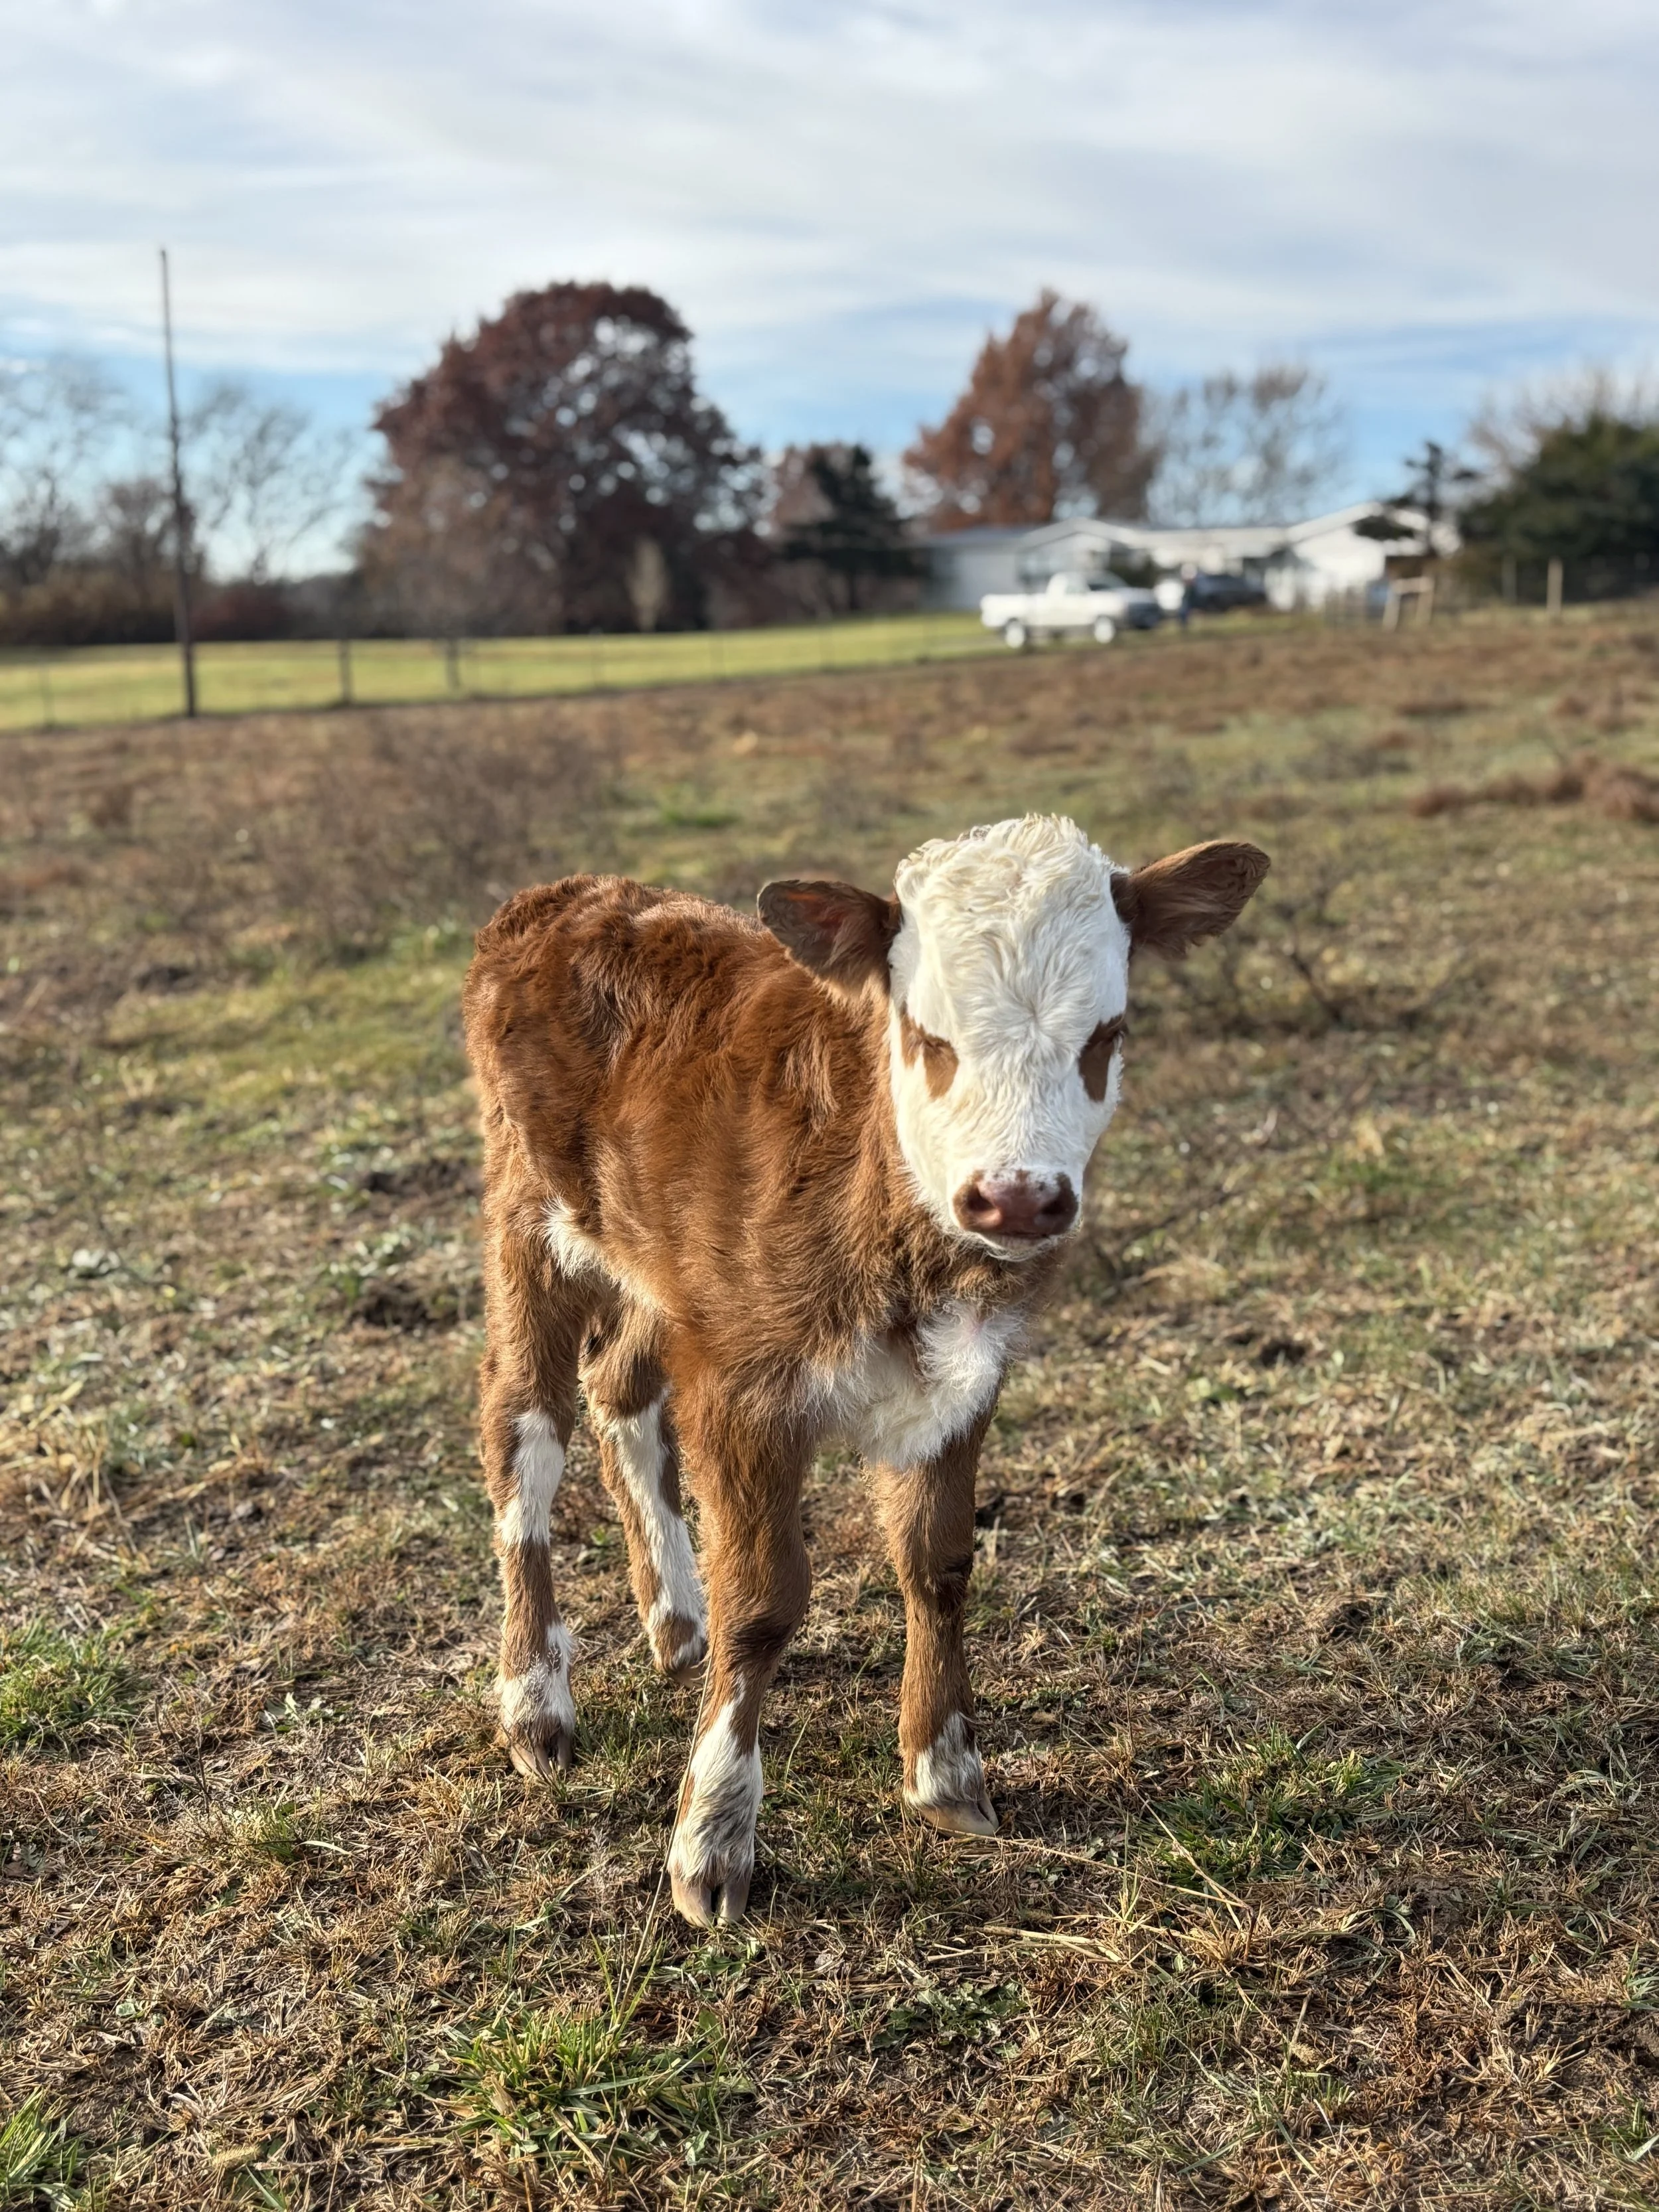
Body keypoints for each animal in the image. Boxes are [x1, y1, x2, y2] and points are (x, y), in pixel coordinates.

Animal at [461, 814, 1268, 1926]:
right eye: (928, 1037)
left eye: (1105, 1036)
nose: (1018, 1199)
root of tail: (565, 895)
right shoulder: (745, 1380)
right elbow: (764, 1602)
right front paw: (712, 1839)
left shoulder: (966, 1379)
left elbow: (940, 1562)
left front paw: (945, 1771)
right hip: (530, 1220)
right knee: (526, 1440)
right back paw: (537, 1702)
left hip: (660, 1271)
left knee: (622, 1387)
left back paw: (675, 1617)